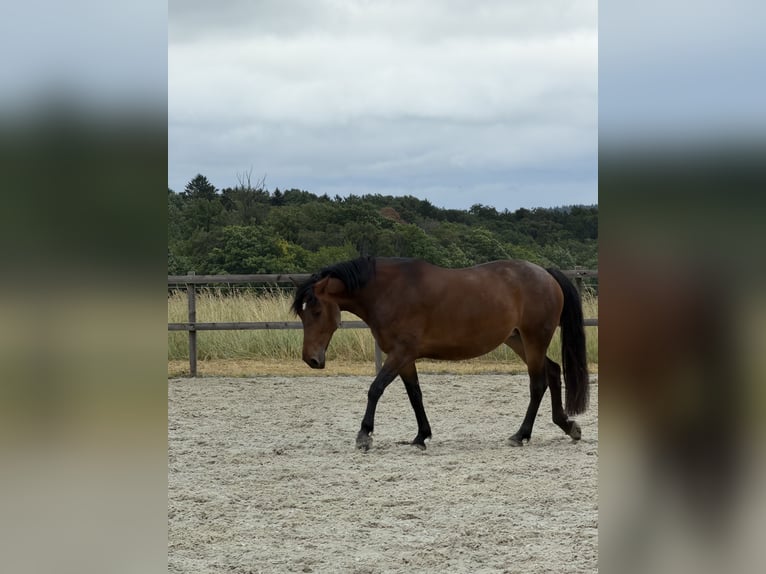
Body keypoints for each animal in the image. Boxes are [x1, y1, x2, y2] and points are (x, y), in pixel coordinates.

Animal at [292, 256, 589, 451]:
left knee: (538, 383)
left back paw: (521, 435)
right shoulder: (405, 358)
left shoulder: (400, 353)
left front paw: (364, 434)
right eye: (302, 313)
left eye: (316, 311)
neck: (388, 292)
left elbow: (375, 389)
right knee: (553, 372)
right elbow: (415, 395)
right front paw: (421, 436)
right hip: (517, 340)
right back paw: (567, 425)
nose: (311, 359)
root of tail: (546, 273)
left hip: (534, 339)